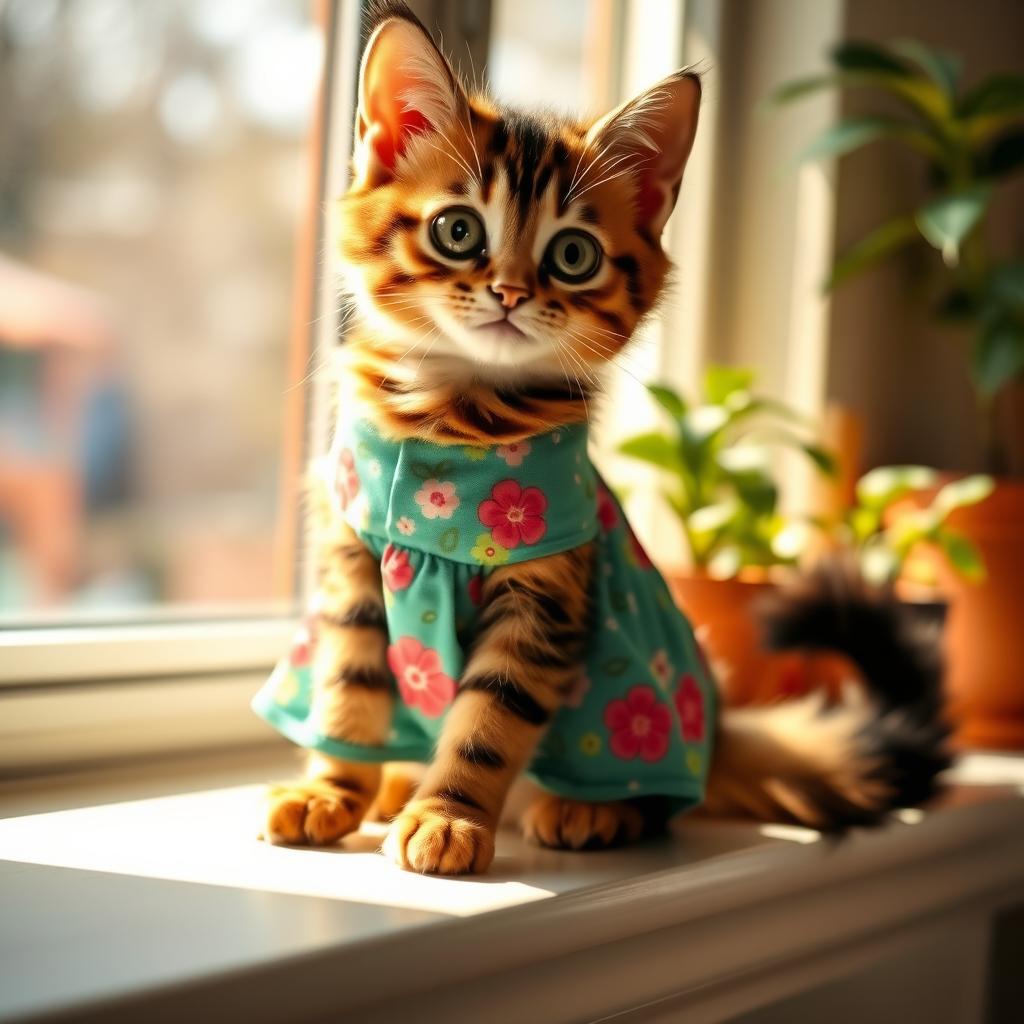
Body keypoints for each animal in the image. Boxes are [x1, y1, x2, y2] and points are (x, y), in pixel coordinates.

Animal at [251, 4, 946, 876]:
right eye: (457, 231)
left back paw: (588, 811)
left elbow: (487, 724)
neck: (453, 418)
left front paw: (448, 817)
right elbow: (348, 694)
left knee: (656, 801)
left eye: (572, 255)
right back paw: (394, 787)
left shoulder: (543, 604)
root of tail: (720, 731)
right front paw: (333, 790)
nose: (510, 292)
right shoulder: (354, 571)